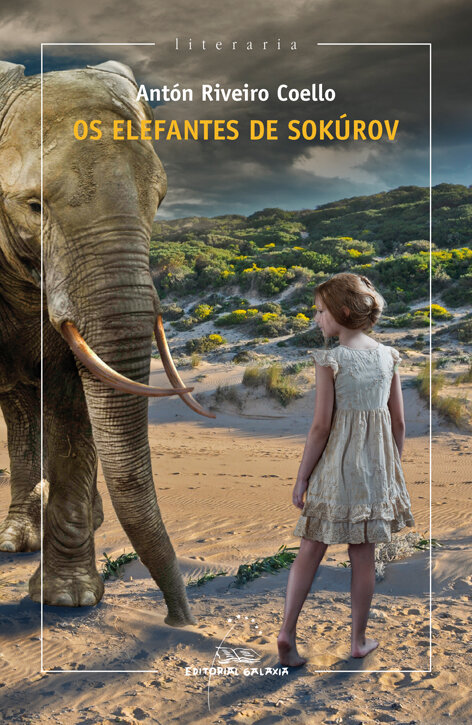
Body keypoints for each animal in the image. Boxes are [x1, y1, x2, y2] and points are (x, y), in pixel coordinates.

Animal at [0, 59, 214, 626]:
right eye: (34, 206)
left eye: (159, 201)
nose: (179, 619)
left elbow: (74, 400)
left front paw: (66, 600)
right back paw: (17, 538)